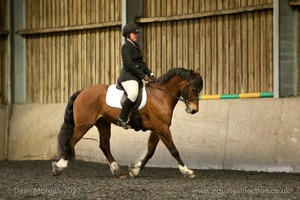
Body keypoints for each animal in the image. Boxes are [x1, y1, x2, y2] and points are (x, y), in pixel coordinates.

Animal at [52, 67, 204, 178]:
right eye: (193, 89)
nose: (194, 110)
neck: (161, 96)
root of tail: (83, 91)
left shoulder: (157, 129)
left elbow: (150, 151)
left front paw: (135, 170)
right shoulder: (162, 128)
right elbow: (174, 150)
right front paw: (187, 171)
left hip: (103, 123)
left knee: (104, 145)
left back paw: (117, 171)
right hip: (84, 124)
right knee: (71, 141)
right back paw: (59, 167)